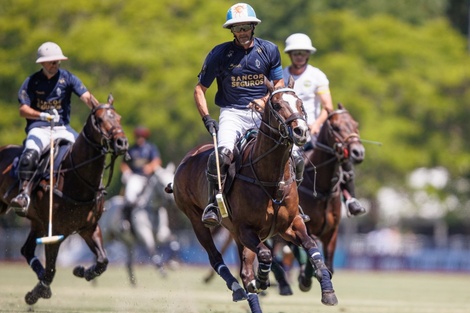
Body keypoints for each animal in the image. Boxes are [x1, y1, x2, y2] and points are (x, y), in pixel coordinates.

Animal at [0, 95, 129, 304]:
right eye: (99, 119)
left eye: (119, 118)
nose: (121, 143)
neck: (77, 179)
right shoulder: (56, 233)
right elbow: (51, 271)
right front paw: (37, 292)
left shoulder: (89, 228)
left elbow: (103, 260)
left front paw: (82, 271)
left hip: (38, 222)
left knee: (26, 250)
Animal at [167, 77, 340, 310]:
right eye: (276, 105)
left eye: (300, 103)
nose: (301, 131)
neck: (271, 177)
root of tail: (187, 159)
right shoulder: (246, 229)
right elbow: (266, 255)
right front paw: (263, 280)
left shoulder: (290, 225)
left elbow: (312, 247)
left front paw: (327, 291)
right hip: (197, 220)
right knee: (217, 258)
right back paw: (239, 288)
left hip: (235, 233)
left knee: (244, 270)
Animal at [296, 104, 366, 290]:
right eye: (335, 127)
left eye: (356, 124)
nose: (358, 152)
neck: (323, 188)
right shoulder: (308, 227)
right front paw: (306, 278)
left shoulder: (332, 231)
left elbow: (329, 266)